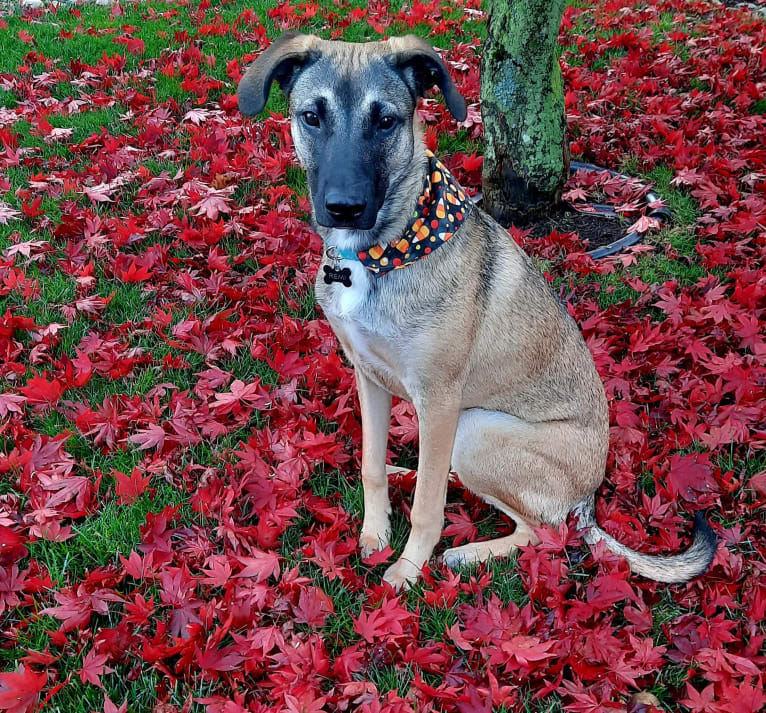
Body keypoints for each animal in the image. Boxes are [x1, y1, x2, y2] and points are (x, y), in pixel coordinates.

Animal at [237, 33, 716, 588]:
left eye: (386, 121)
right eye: (311, 116)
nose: (344, 208)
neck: (382, 252)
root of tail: (588, 499)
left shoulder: (440, 396)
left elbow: (428, 508)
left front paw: (408, 568)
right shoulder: (369, 376)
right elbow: (371, 465)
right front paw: (376, 531)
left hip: (477, 428)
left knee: (544, 532)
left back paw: (468, 553)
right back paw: (414, 472)